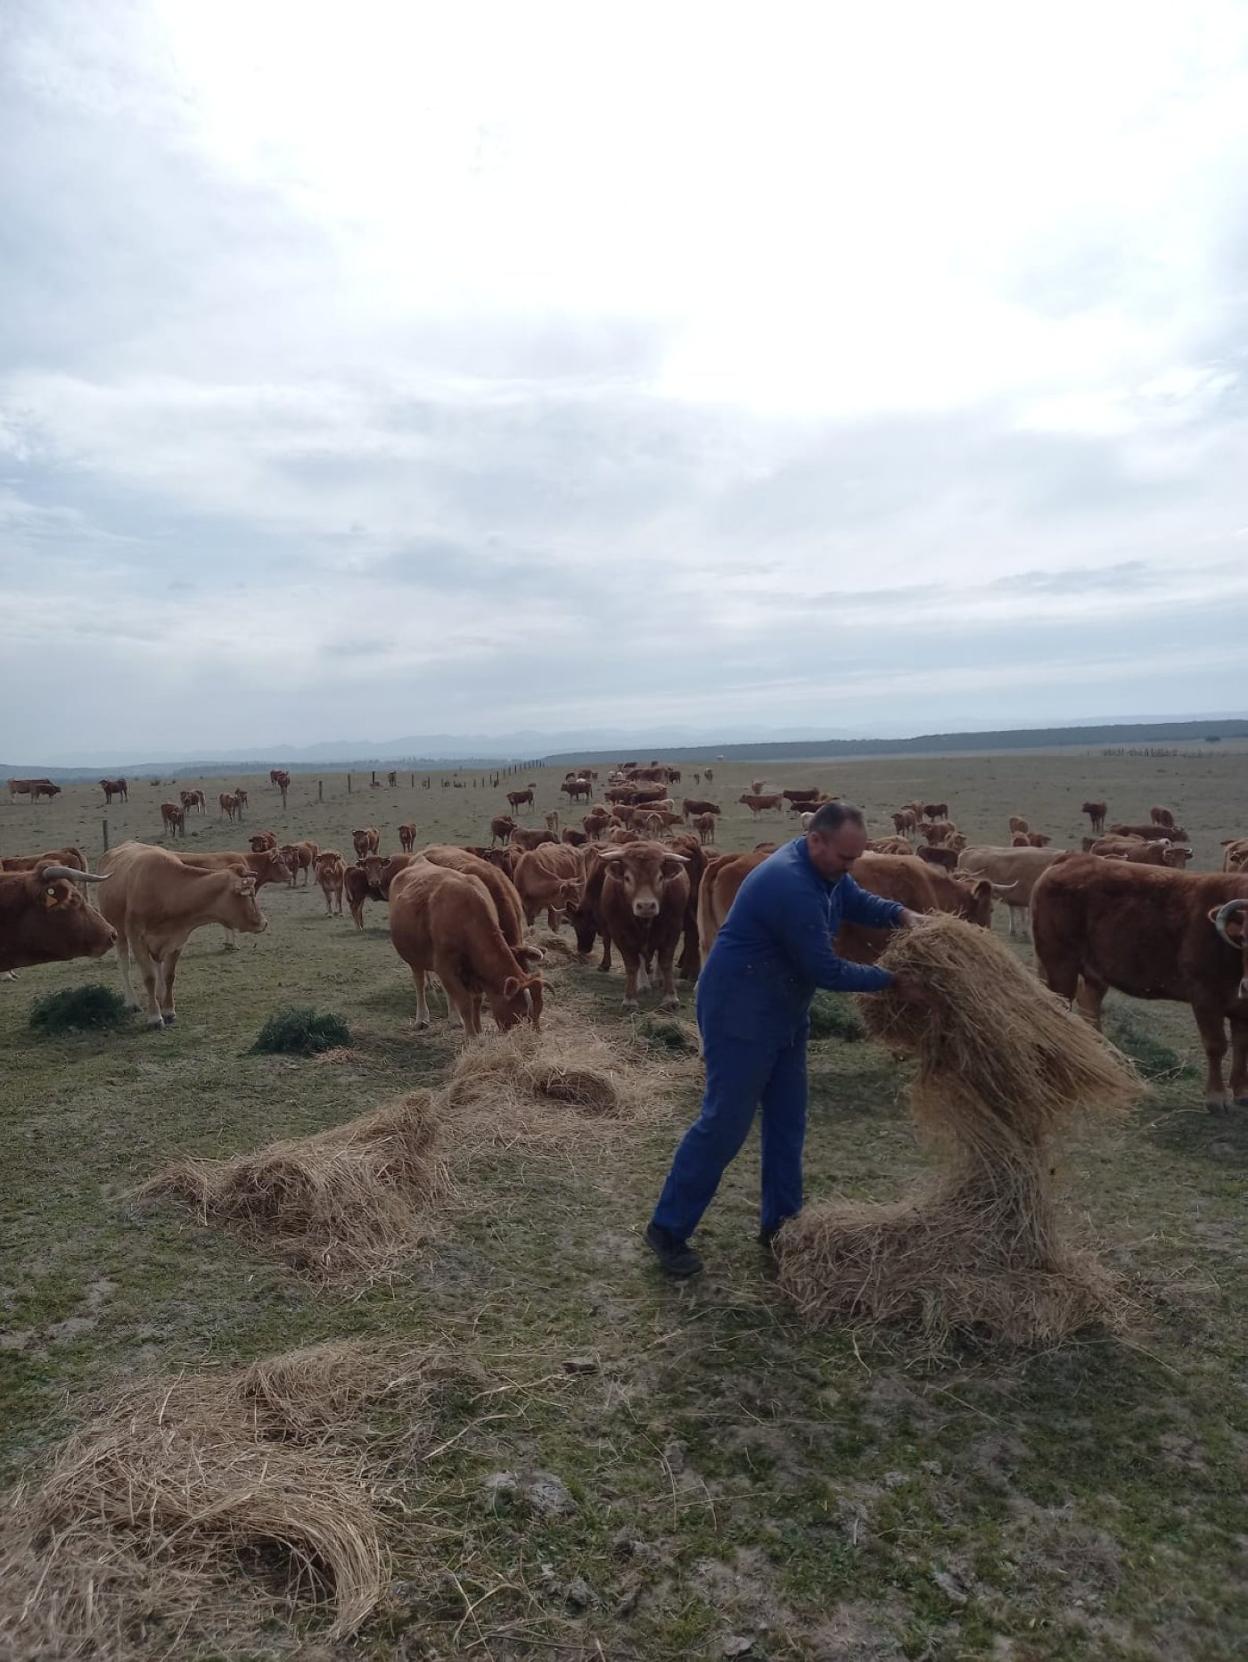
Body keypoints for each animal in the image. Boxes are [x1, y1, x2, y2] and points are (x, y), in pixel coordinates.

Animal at [100, 844, 269, 1023]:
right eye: (250, 895)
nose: (264, 922)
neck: (167, 892)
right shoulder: (137, 939)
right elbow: (149, 977)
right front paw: (155, 1016)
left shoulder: (177, 939)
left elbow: (168, 975)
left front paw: (168, 1009)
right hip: (119, 933)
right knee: (125, 966)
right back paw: (132, 1001)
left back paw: (160, 995)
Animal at [388, 864, 545, 1030]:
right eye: (522, 1012)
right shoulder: (445, 966)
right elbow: (464, 1004)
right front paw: (471, 1033)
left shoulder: (473, 970)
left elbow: (476, 1000)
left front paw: (478, 1029)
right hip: (415, 958)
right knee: (420, 983)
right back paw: (422, 1018)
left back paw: (454, 1018)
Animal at [598, 837, 694, 1003]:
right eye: (627, 878)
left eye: (660, 877)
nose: (646, 905)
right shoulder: (619, 933)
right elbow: (632, 964)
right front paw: (630, 998)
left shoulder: (672, 929)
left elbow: (665, 962)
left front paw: (670, 997)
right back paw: (643, 984)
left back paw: (657, 978)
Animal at [1036, 857, 1248, 1116]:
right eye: (1245, 937)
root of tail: (1071, 859)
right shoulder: (1205, 998)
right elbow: (1216, 1045)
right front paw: (1216, 1097)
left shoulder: (1241, 1007)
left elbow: (1242, 1045)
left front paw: (1241, 1091)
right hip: (1060, 965)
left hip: (1093, 972)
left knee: (1089, 1009)